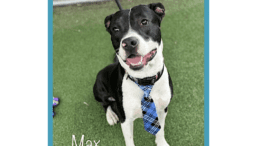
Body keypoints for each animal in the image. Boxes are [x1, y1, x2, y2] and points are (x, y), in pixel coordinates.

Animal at [93, 2, 173, 146]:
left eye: (144, 22)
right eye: (115, 29)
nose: (129, 43)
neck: (145, 79)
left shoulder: (162, 109)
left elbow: (160, 130)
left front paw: (161, 142)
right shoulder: (126, 119)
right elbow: (129, 139)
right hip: (99, 90)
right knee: (105, 103)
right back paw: (111, 115)